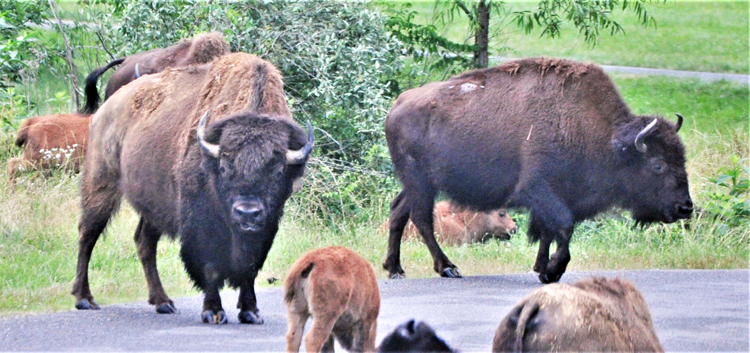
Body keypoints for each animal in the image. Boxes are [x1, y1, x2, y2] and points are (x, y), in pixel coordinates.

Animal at [72, 52, 312, 324]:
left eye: (277, 170)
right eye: (225, 166)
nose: (247, 212)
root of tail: (106, 108)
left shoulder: (266, 226)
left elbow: (249, 266)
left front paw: (251, 312)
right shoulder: (202, 223)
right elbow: (210, 266)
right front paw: (213, 312)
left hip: (153, 205)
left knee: (144, 243)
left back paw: (163, 302)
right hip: (101, 184)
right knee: (88, 235)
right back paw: (84, 298)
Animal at [384, 58, 696, 284]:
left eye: (682, 158)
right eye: (657, 165)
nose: (685, 207)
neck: (603, 136)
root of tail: (398, 104)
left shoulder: (560, 195)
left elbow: (550, 231)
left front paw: (541, 268)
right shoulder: (538, 188)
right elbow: (563, 226)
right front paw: (553, 271)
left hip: (415, 183)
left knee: (398, 210)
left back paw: (395, 268)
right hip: (420, 181)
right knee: (421, 218)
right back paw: (448, 268)